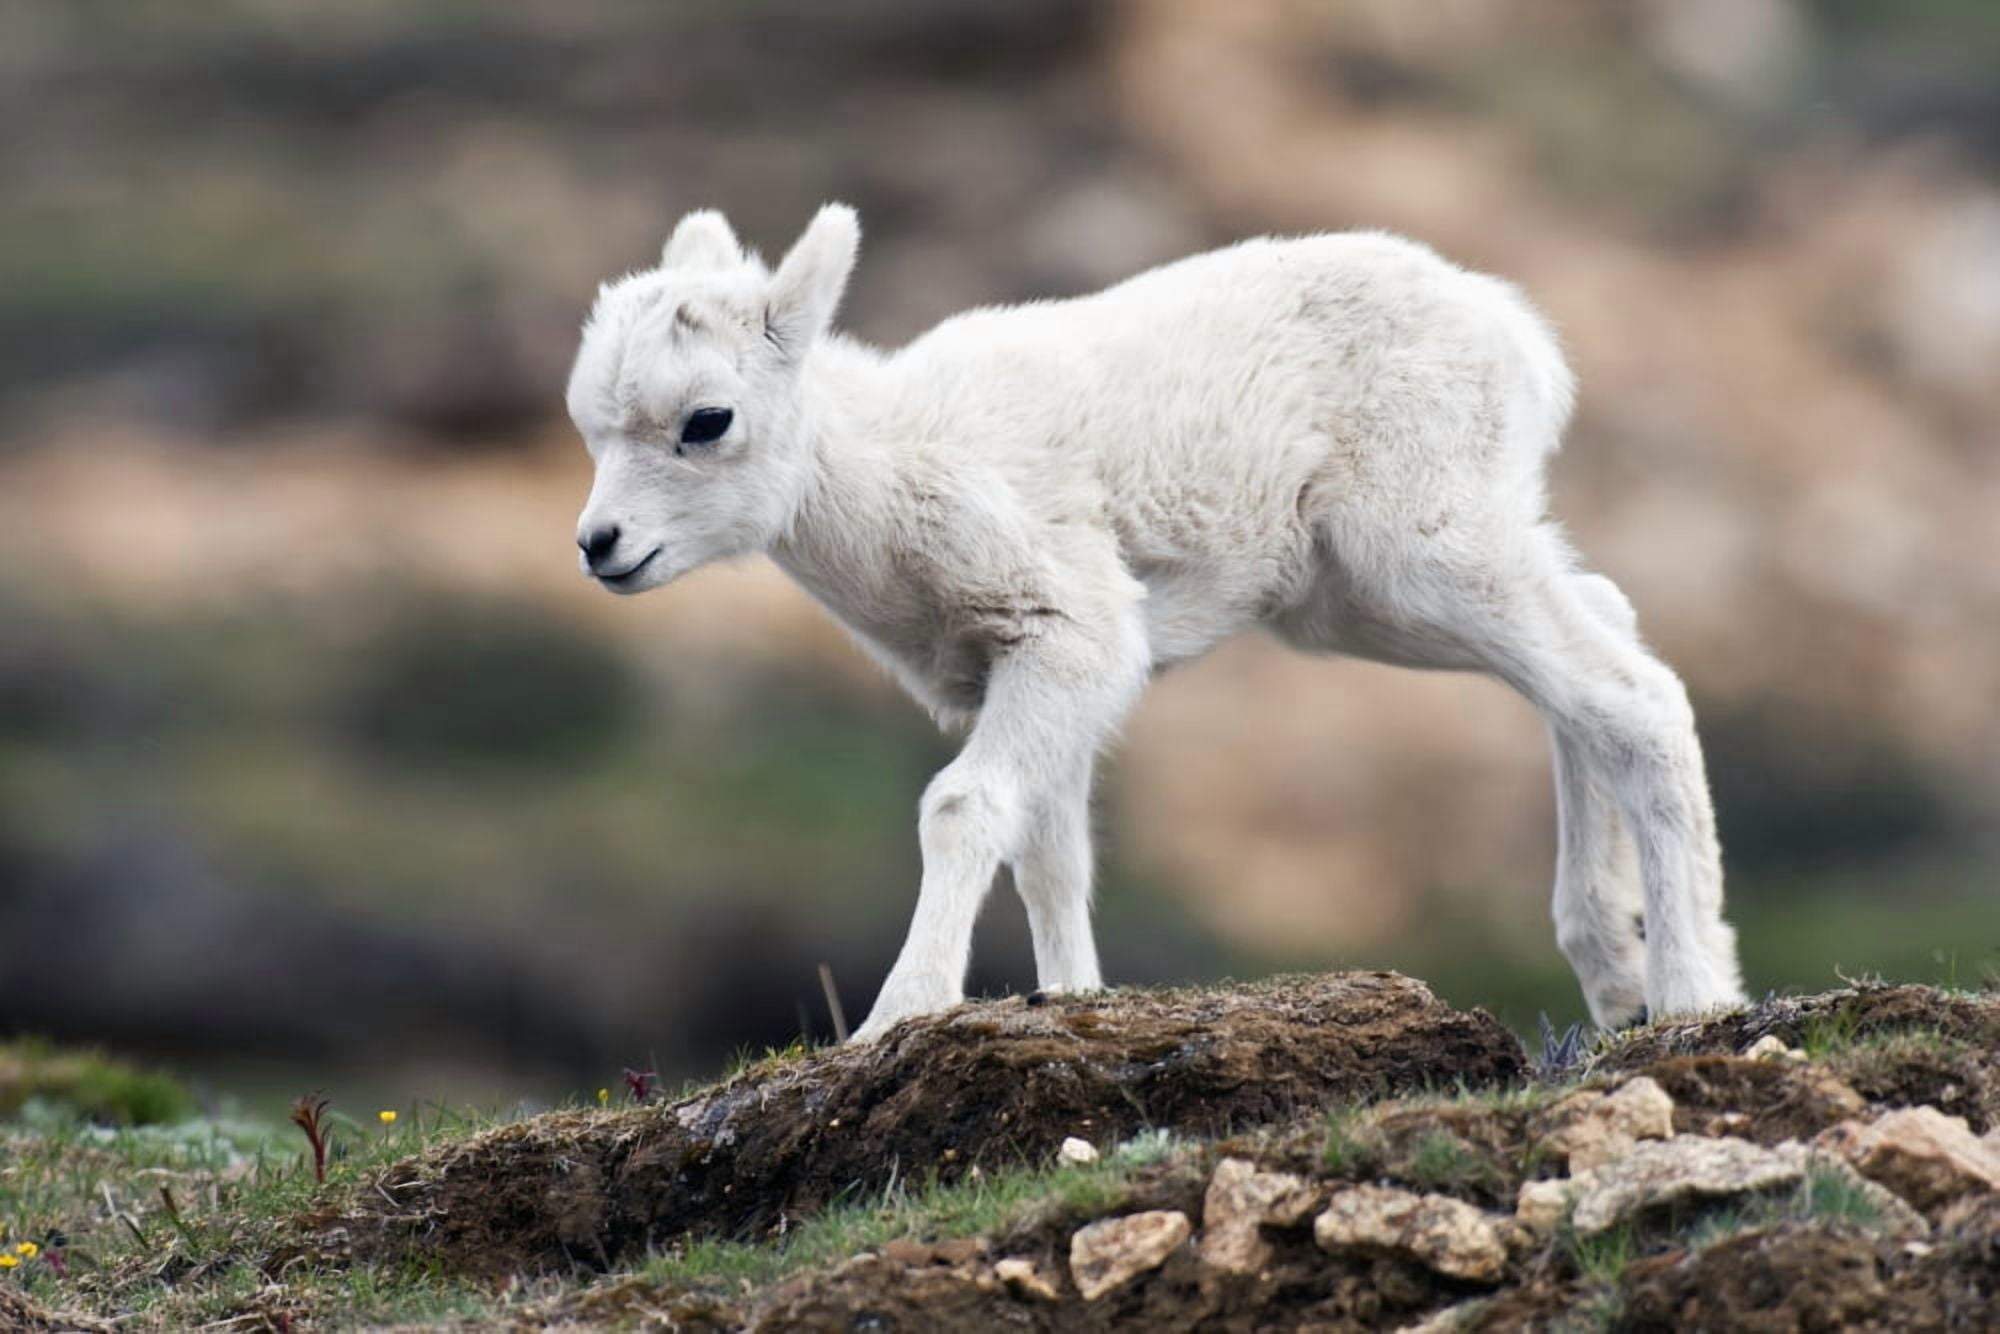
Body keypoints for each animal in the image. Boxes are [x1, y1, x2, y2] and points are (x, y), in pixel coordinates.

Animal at [565, 203, 1746, 1041]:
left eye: (706, 420)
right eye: (592, 424)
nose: (601, 546)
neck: (893, 471)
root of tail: (1520, 337)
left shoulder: (1070, 638)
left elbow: (963, 809)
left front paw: (897, 1017)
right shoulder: (1030, 678)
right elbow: (1052, 857)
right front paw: (1072, 1003)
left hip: (1426, 556)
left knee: (1632, 697)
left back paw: (1690, 993)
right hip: (1371, 603)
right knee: (1596, 644)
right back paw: (1616, 976)